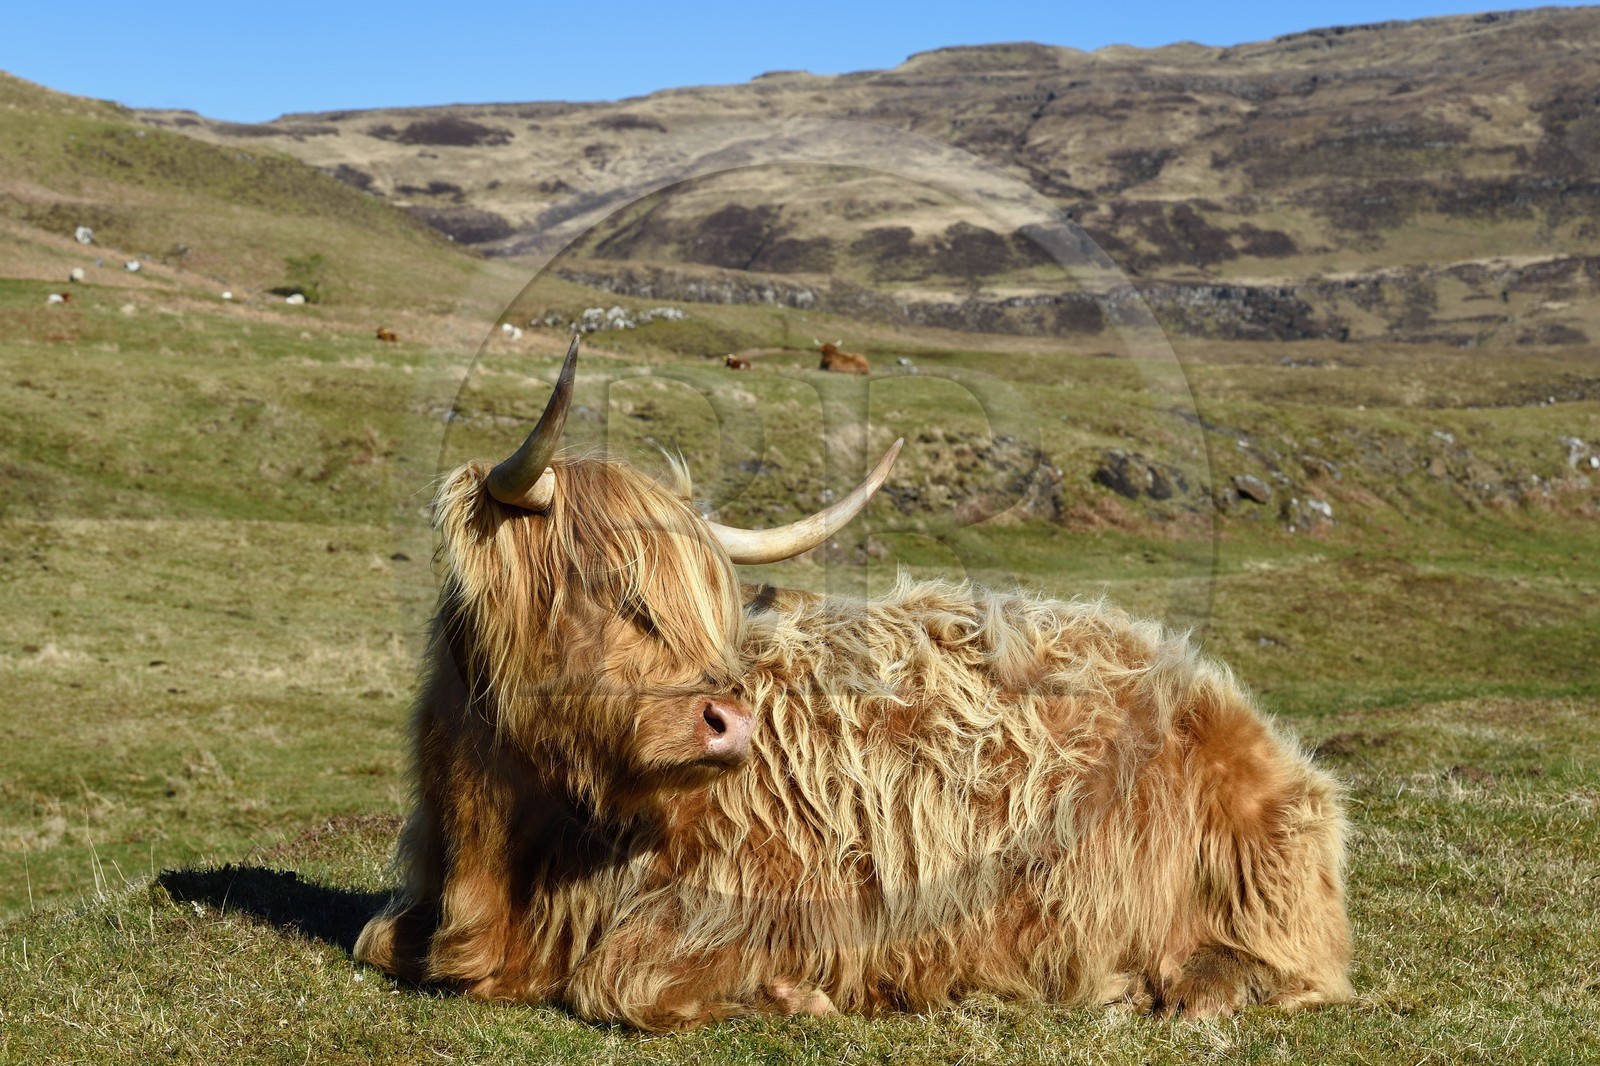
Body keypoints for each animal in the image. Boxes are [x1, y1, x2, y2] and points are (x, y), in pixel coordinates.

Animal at [354, 336, 1352, 1030]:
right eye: (606, 588)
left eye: (709, 604)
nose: (728, 723)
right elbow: (380, 942)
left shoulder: (770, 900)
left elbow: (619, 980)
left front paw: (799, 997)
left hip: (1261, 863)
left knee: (1287, 968)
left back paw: (1159, 986)